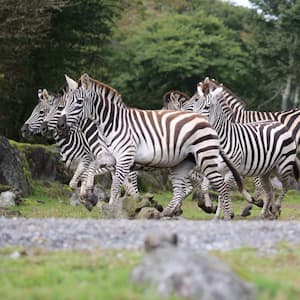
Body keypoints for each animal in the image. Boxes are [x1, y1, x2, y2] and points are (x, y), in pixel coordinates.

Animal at [55, 71, 244, 219]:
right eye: (65, 103)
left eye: (78, 102)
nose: (60, 125)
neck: (112, 123)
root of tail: (204, 120)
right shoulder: (111, 157)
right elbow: (93, 168)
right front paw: (88, 195)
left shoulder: (125, 159)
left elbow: (116, 186)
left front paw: (112, 209)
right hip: (183, 162)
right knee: (182, 189)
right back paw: (166, 213)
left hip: (205, 157)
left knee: (220, 185)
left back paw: (225, 215)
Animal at [195, 83, 298, 219]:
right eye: (195, 104)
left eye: (207, 107)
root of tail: (279, 124)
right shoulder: (214, 168)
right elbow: (207, 187)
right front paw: (215, 214)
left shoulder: (232, 170)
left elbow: (223, 192)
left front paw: (227, 215)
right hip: (266, 170)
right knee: (269, 190)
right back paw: (264, 214)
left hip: (283, 166)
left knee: (286, 185)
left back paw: (275, 209)